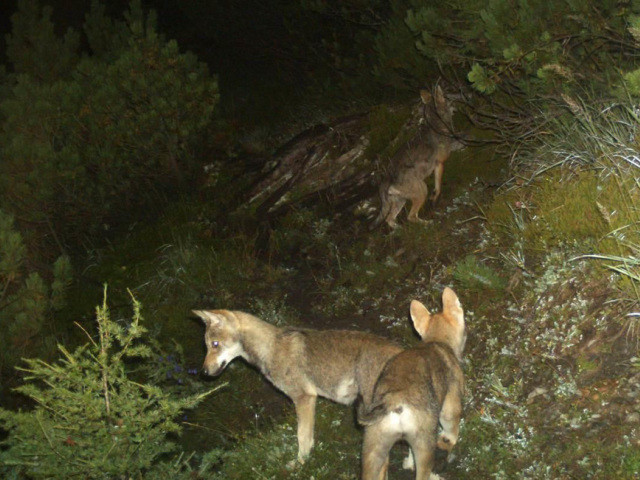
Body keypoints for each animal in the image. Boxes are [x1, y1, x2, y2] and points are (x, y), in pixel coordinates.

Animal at [192, 309, 403, 464]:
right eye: (207, 346)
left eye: (215, 344)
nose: (203, 372)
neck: (270, 348)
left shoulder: (304, 398)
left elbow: (302, 437)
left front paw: (301, 464)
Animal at [359, 287, 466, 480]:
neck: (437, 341)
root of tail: (393, 401)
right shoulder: (450, 406)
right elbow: (451, 431)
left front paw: (408, 464)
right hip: (425, 446)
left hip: (373, 450)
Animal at [372, 86, 457, 229]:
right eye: (447, 97)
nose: (455, 104)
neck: (436, 124)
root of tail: (386, 180)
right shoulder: (439, 163)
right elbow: (438, 187)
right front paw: (434, 199)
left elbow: (437, 187)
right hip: (422, 190)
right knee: (410, 217)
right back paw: (428, 223)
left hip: (401, 201)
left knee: (390, 219)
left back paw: (399, 229)